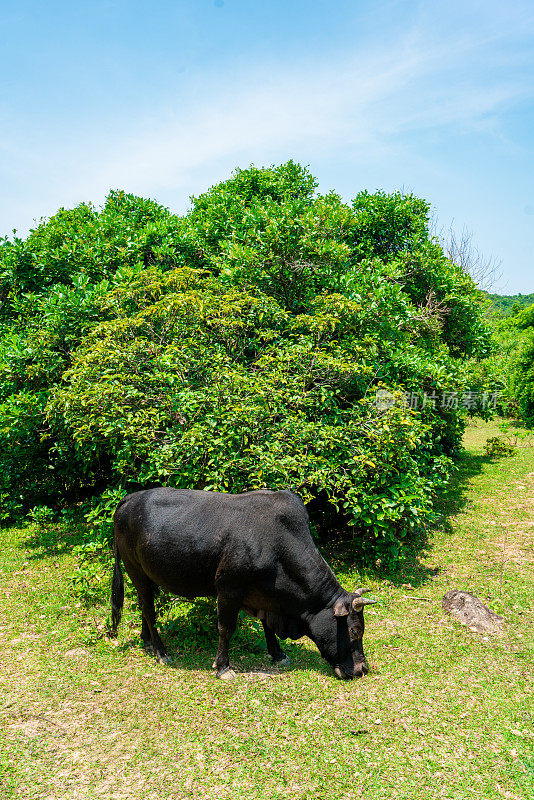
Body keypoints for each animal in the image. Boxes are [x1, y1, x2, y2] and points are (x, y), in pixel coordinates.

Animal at [110, 484, 376, 680]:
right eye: (355, 631)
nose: (362, 669)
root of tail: (130, 497)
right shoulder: (228, 589)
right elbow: (225, 628)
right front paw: (223, 667)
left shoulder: (265, 597)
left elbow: (267, 626)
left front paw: (278, 654)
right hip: (135, 569)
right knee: (148, 609)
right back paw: (161, 651)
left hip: (145, 575)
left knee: (144, 606)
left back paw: (147, 641)